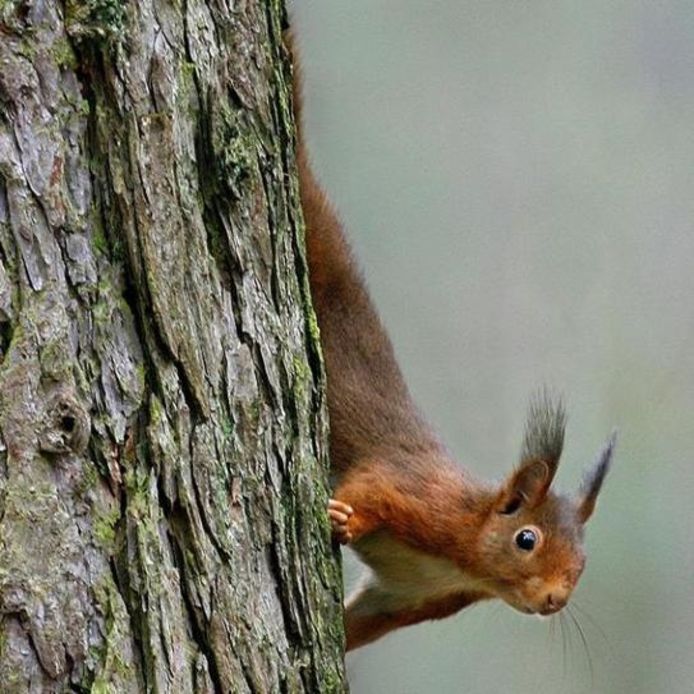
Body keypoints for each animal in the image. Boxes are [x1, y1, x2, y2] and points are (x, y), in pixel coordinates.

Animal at [290, 34, 616, 652]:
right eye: (527, 539)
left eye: (584, 564)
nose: (555, 600)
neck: (465, 558)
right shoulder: (420, 496)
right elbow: (372, 486)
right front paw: (346, 519)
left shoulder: (407, 599)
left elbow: (361, 622)